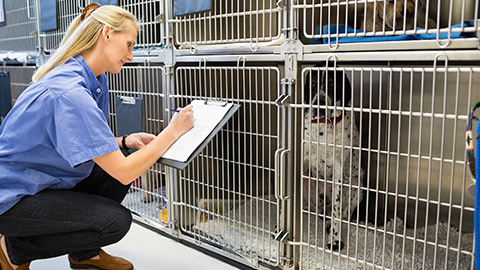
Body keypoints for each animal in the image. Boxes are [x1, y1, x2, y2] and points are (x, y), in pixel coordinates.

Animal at [304, 63, 364, 251]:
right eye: (313, 83)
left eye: (332, 84)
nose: (319, 104)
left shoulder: (338, 168)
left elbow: (338, 210)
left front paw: (335, 239)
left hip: (357, 184)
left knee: (343, 214)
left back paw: (331, 224)